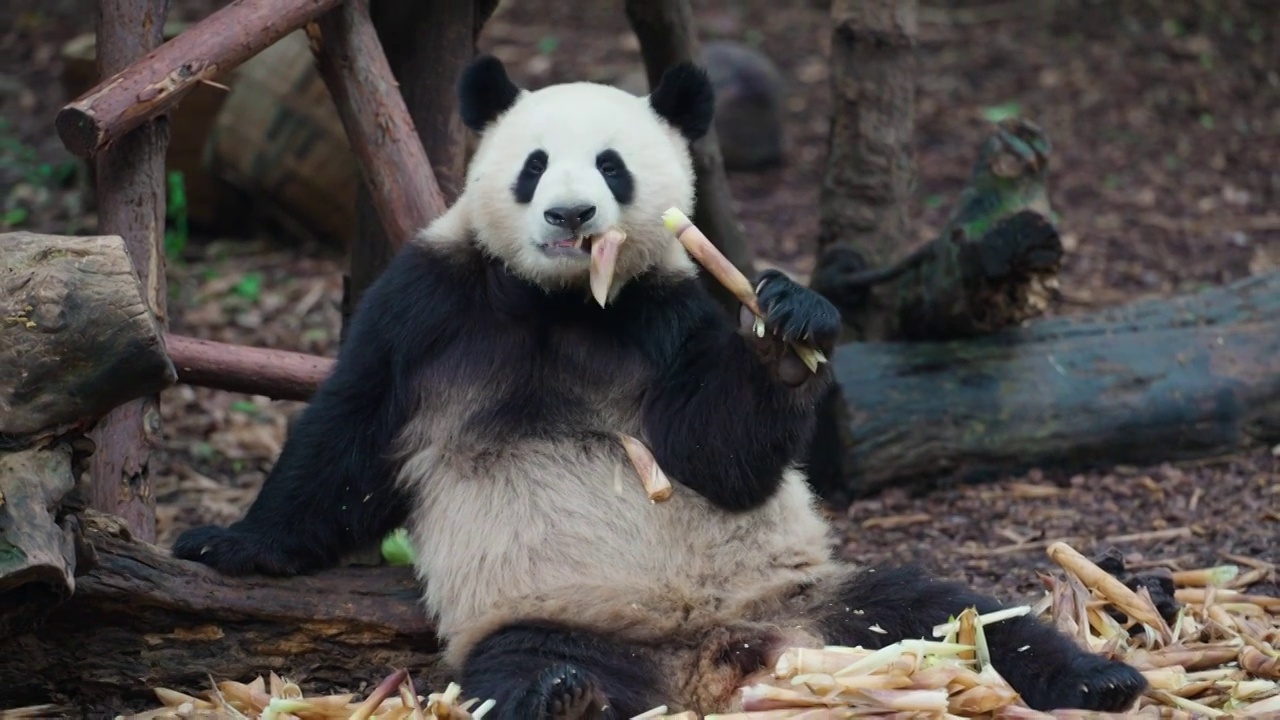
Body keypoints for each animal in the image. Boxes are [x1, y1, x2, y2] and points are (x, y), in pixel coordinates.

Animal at [172, 54, 1152, 717]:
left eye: (611, 165)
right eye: (534, 164)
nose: (572, 215)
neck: (565, 300)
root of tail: (720, 653)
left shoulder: (672, 317)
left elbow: (719, 457)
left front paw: (789, 328)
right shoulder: (430, 303)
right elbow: (350, 432)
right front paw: (229, 542)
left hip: (818, 595)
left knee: (953, 611)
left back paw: (1098, 675)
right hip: (557, 615)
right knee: (517, 665)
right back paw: (566, 695)